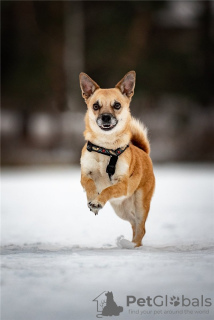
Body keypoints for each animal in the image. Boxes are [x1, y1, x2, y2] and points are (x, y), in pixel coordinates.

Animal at [79, 70, 155, 248]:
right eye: (95, 106)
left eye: (117, 105)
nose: (106, 117)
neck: (105, 149)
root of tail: (144, 153)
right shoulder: (85, 174)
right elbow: (90, 183)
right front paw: (92, 199)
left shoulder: (123, 183)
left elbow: (108, 189)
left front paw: (98, 201)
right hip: (122, 209)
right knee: (134, 224)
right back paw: (128, 243)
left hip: (140, 203)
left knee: (141, 228)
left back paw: (132, 245)